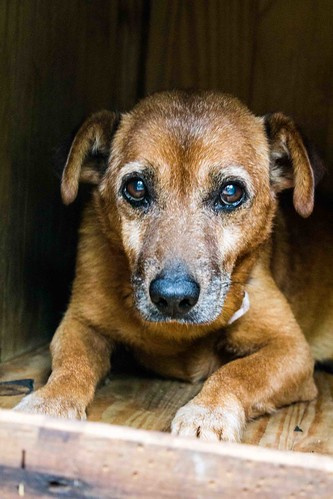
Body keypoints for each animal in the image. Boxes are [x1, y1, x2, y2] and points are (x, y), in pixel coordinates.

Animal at [15, 92, 332, 444]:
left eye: (231, 192)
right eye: (136, 187)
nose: (173, 298)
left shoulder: (291, 348)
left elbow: (239, 372)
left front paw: (208, 411)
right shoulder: (79, 322)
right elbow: (72, 363)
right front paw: (50, 401)